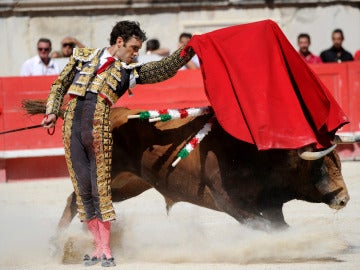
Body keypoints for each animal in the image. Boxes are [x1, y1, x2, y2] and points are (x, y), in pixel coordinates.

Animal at [55, 105, 352, 232]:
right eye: (319, 167)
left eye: (338, 162)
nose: (344, 198)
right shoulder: (230, 203)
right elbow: (262, 226)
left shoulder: (270, 205)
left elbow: (280, 226)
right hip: (108, 173)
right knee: (79, 199)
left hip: (129, 184)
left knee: (79, 200)